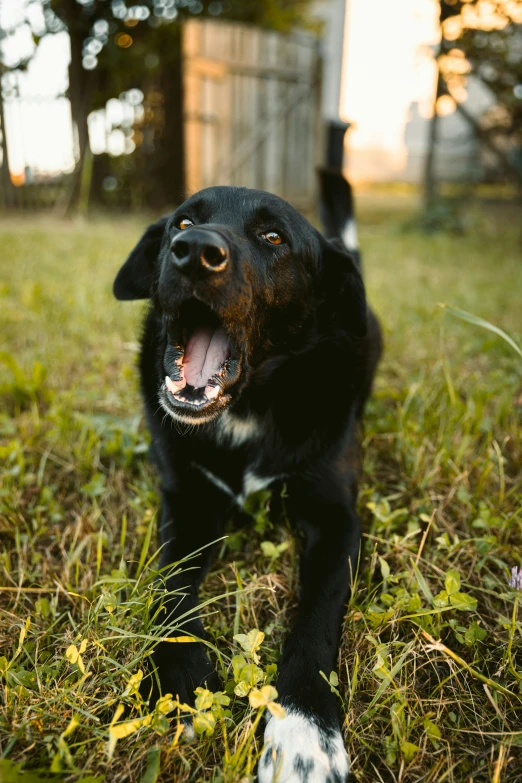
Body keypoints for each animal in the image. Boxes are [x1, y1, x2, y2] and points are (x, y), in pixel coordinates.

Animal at [114, 175, 380, 780]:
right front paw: (185, 683)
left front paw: (305, 734)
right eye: (183, 222)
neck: (248, 408)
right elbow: (171, 587)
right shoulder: (186, 504)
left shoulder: (336, 519)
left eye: (273, 237)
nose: (192, 251)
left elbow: (315, 618)